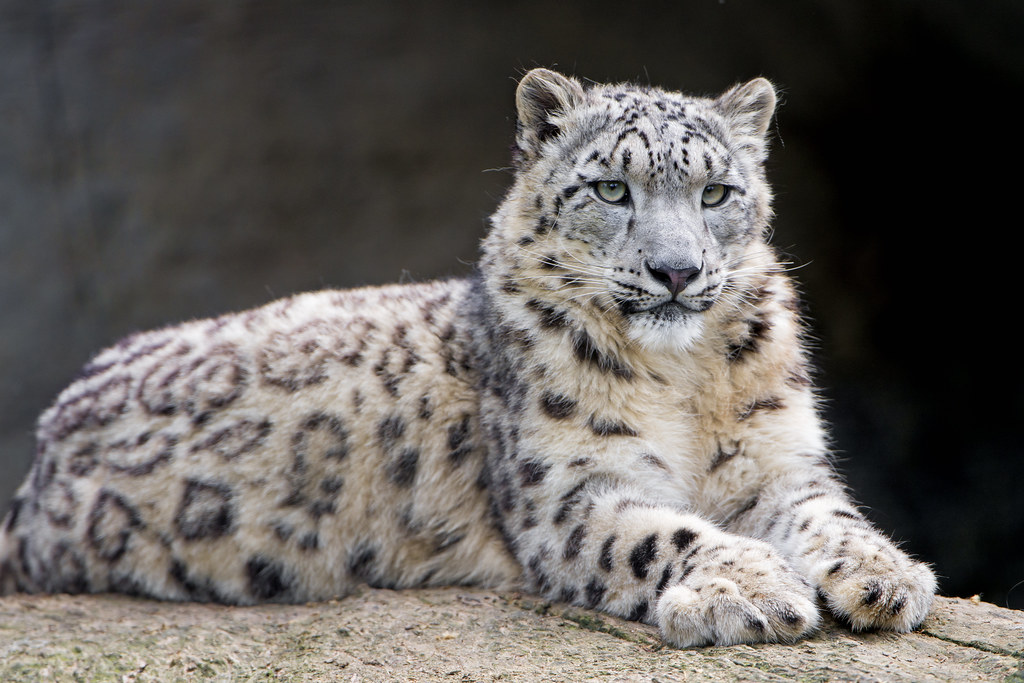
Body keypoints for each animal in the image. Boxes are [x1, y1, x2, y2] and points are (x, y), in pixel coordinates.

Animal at [0, 68, 936, 647]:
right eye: (611, 188)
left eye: (716, 192)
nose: (676, 270)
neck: (683, 377)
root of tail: (41, 452)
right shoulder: (571, 492)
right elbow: (662, 532)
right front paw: (752, 590)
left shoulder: (775, 459)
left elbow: (828, 513)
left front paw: (888, 576)